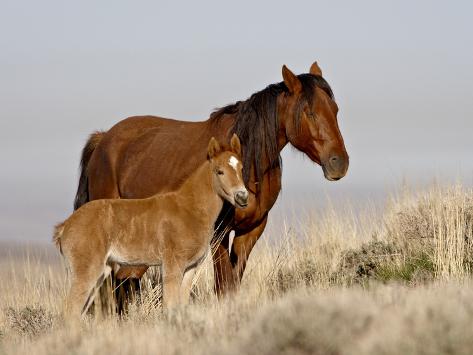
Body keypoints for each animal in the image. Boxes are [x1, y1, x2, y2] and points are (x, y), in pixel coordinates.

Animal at [53, 135, 247, 318]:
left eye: (242, 169)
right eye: (220, 171)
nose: (242, 197)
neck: (189, 208)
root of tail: (65, 226)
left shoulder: (190, 268)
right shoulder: (172, 266)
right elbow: (169, 305)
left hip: (100, 273)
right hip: (86, 271)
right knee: (71, 310)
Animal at [73, 62, 346, 312]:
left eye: (335, 110)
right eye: (309, 112)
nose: (340, 163)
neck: (247, 159)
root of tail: (103, 139)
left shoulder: (251, 231)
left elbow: (232, 284)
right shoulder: (219, 233)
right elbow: (222, 285)